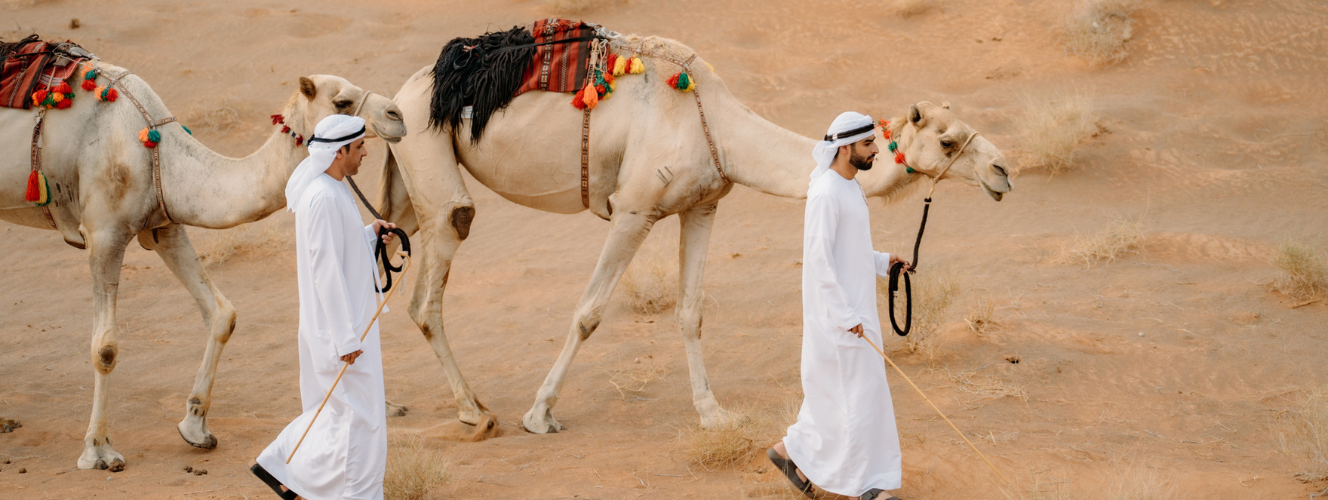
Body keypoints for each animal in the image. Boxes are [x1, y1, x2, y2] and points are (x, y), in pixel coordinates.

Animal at [0, 61, 406, 470]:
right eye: (342, 101)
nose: (397, 115)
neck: (154, 151)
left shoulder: (164, 224)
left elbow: (222, 313)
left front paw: (194, 426)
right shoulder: (104, 233)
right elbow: (105, 348)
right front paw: (98, 449)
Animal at [373, 34, 1012, 435]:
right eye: (948, 141)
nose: (1003, 170)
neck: (718, 126)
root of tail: (402, 90)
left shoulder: (702, 208)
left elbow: (690, 311)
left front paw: (713, 413)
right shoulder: (633, 209)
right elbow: (589, 311)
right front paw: (540, 413)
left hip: (407, 172)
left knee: (389, 249)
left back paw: (398, 404)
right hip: (429, 152)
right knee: (434, 276)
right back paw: (474, 411)